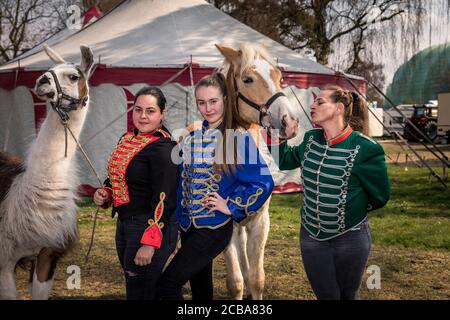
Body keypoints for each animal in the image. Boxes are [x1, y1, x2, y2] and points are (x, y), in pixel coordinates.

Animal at [217, 43, 300, 300]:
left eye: (279, 76)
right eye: (247, 79)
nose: (290, 122)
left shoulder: (260, 222)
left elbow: (256, 279)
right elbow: (235, 283)